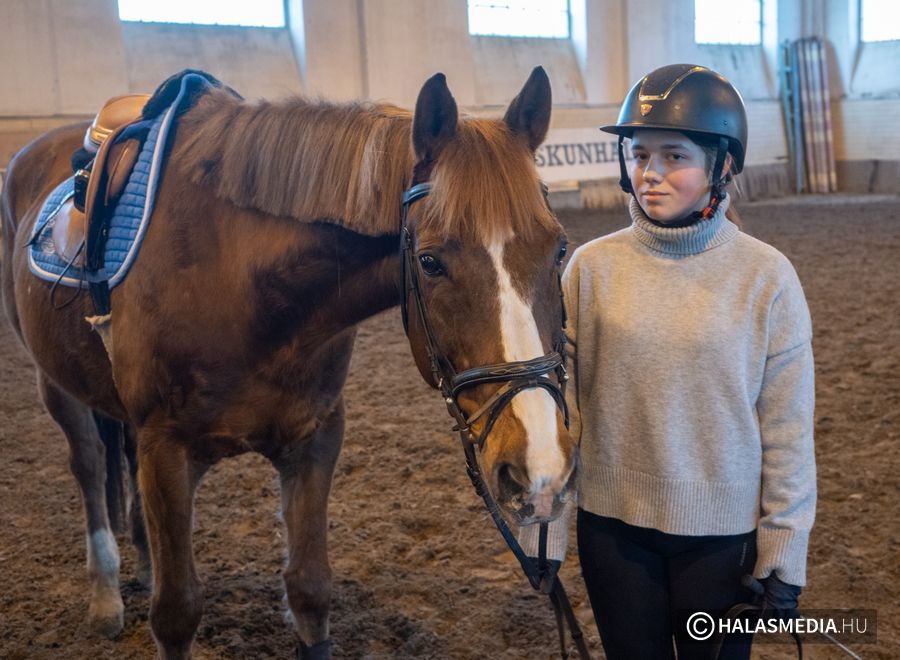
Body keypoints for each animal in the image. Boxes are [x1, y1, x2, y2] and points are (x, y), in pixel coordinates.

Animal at [0, 68, 576, 658]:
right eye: (430, 261)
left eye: (559, 249)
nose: (539, 469)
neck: (242, 283)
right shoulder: (166, 449)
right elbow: (177, 612)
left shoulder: (315, 438)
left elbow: (309, 590)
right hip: (56, 386)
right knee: (90, 467)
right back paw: (105, 595)